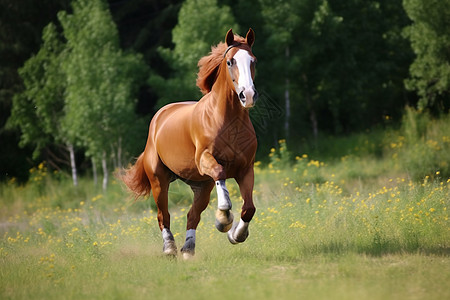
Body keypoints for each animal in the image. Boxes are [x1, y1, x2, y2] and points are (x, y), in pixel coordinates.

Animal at [121, 27, 258, 258]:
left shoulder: (245, 169)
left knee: (192, 215)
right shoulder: (205, 159)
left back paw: (188, 249)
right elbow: (220, 173)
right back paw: (170, 248)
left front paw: (235, 235)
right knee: (163, 215)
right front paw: (224, 219)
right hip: (159, 180)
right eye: (230, 61)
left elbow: (249, 208)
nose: (247, 95)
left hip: (202, 185)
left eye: (253, 61)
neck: (229, 121)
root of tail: (159, 117)